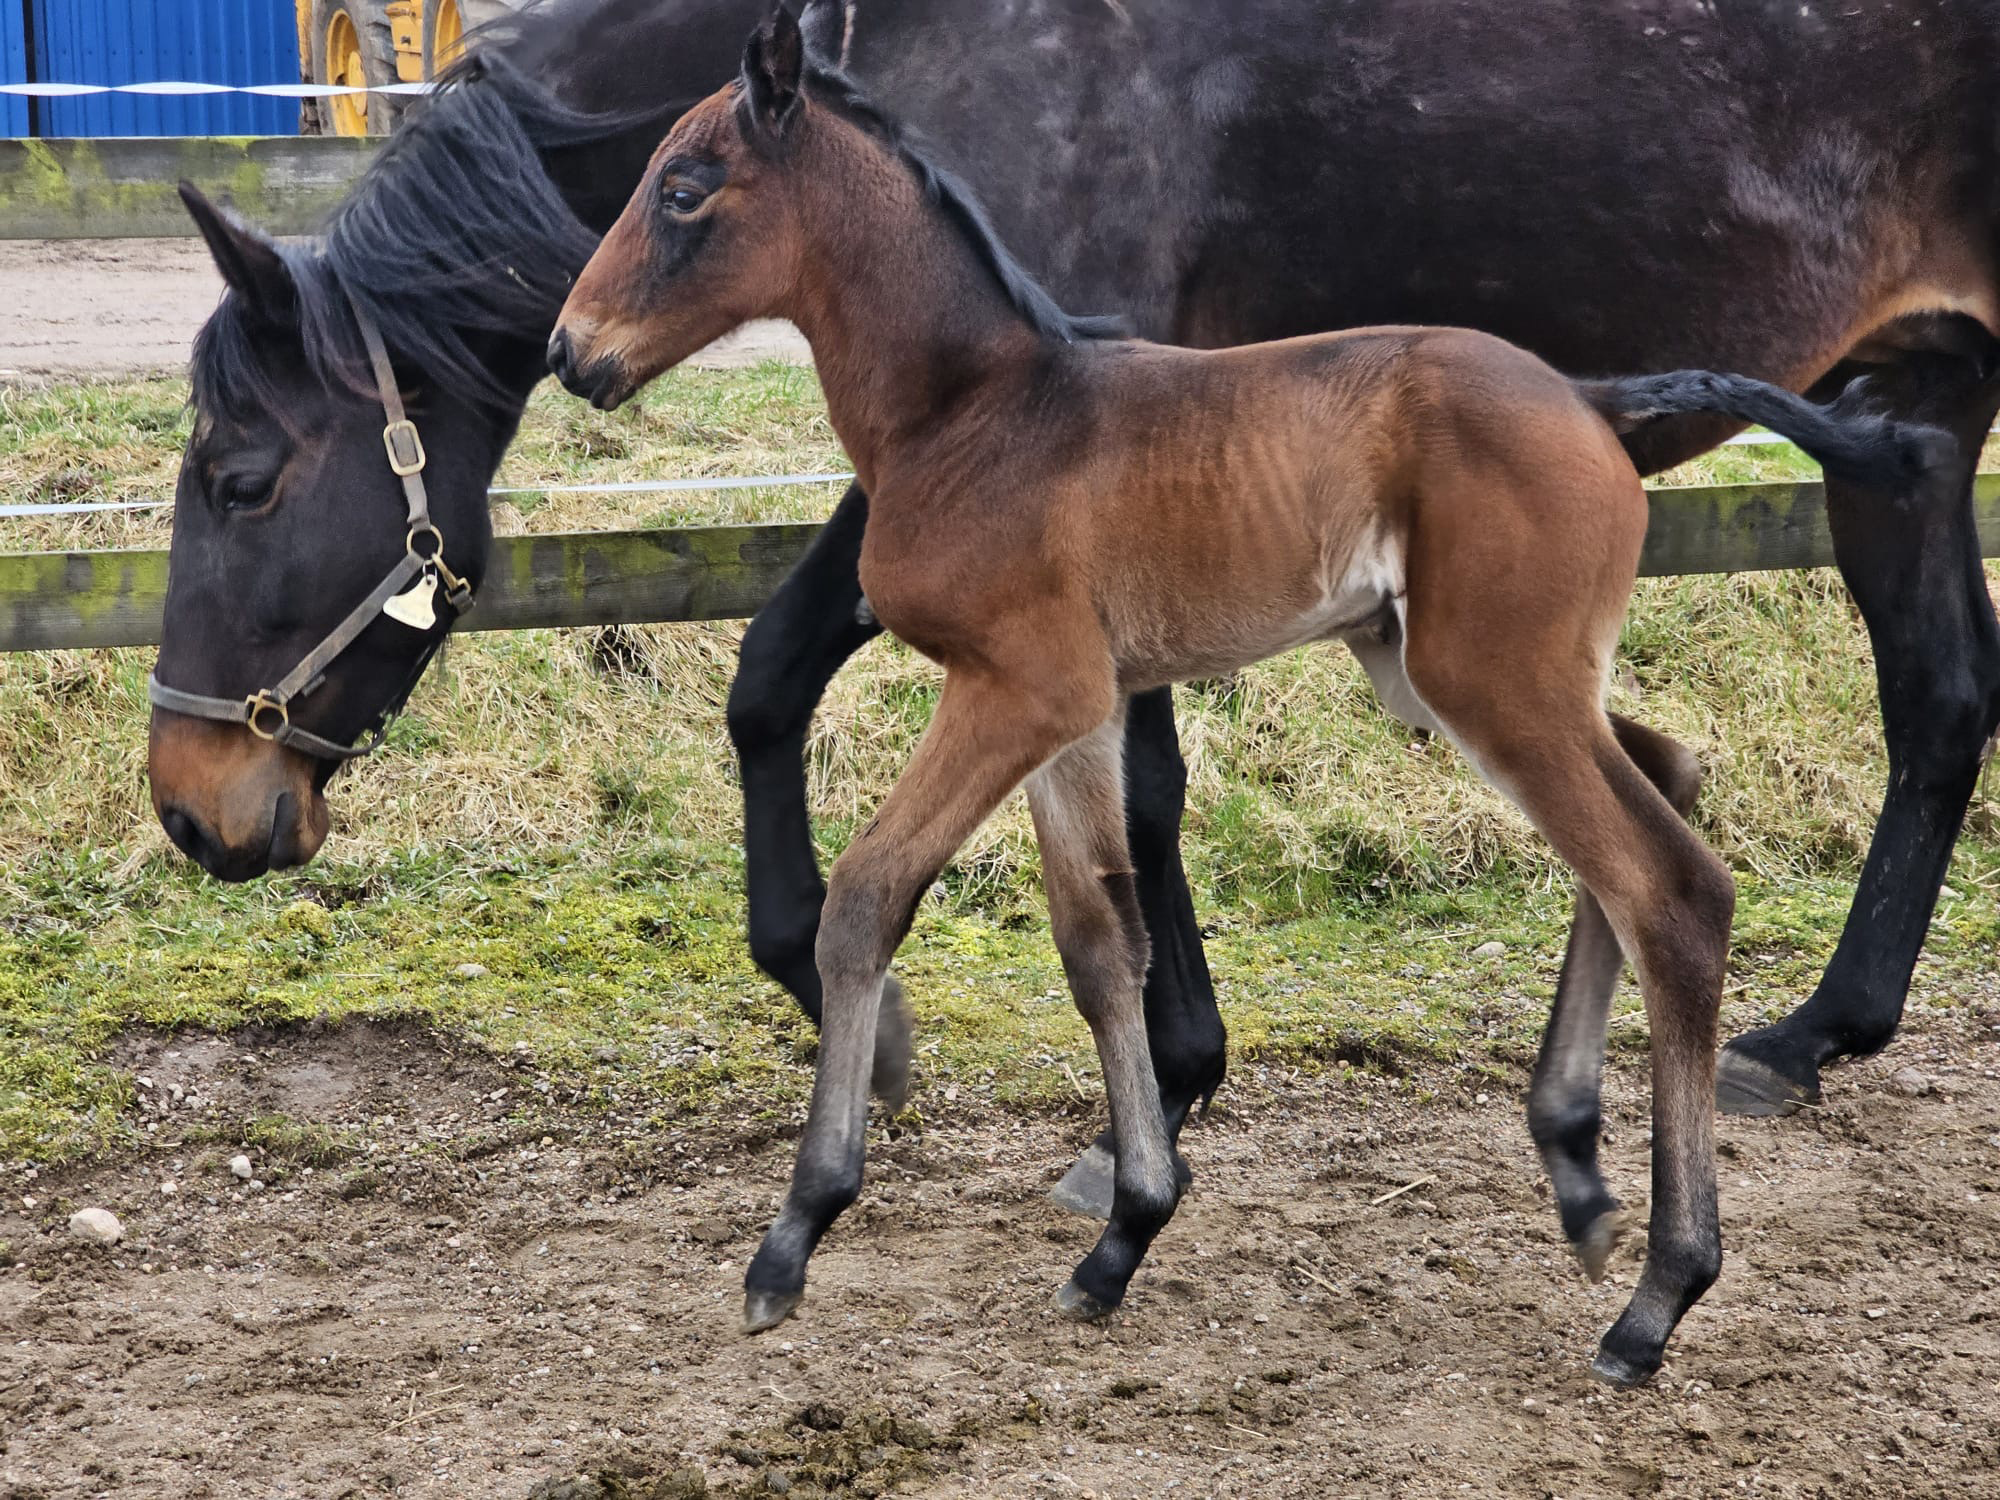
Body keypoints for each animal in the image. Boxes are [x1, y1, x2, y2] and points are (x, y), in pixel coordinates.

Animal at [148, 0, 2000, 1216]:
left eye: (239, 478)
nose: (191, 808)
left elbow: (811, 684)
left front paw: (1094, 1065)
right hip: (1914, 404)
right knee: (1939, 701)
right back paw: (1811, 1033)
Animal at [552, 5, 1952, 1384]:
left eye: (681, 190)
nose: (572, 351)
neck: (975, 409)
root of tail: (1590, 398)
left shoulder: (1012, 691)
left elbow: (865, 900)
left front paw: (795, 1231)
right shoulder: (1072, 709)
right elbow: (1097, 942)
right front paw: (1123, 1232)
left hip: (1491, 681)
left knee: (1669, 889)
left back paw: (1657, 1296)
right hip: (1460, 674)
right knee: (1656, 784)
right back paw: (1573, 1169)